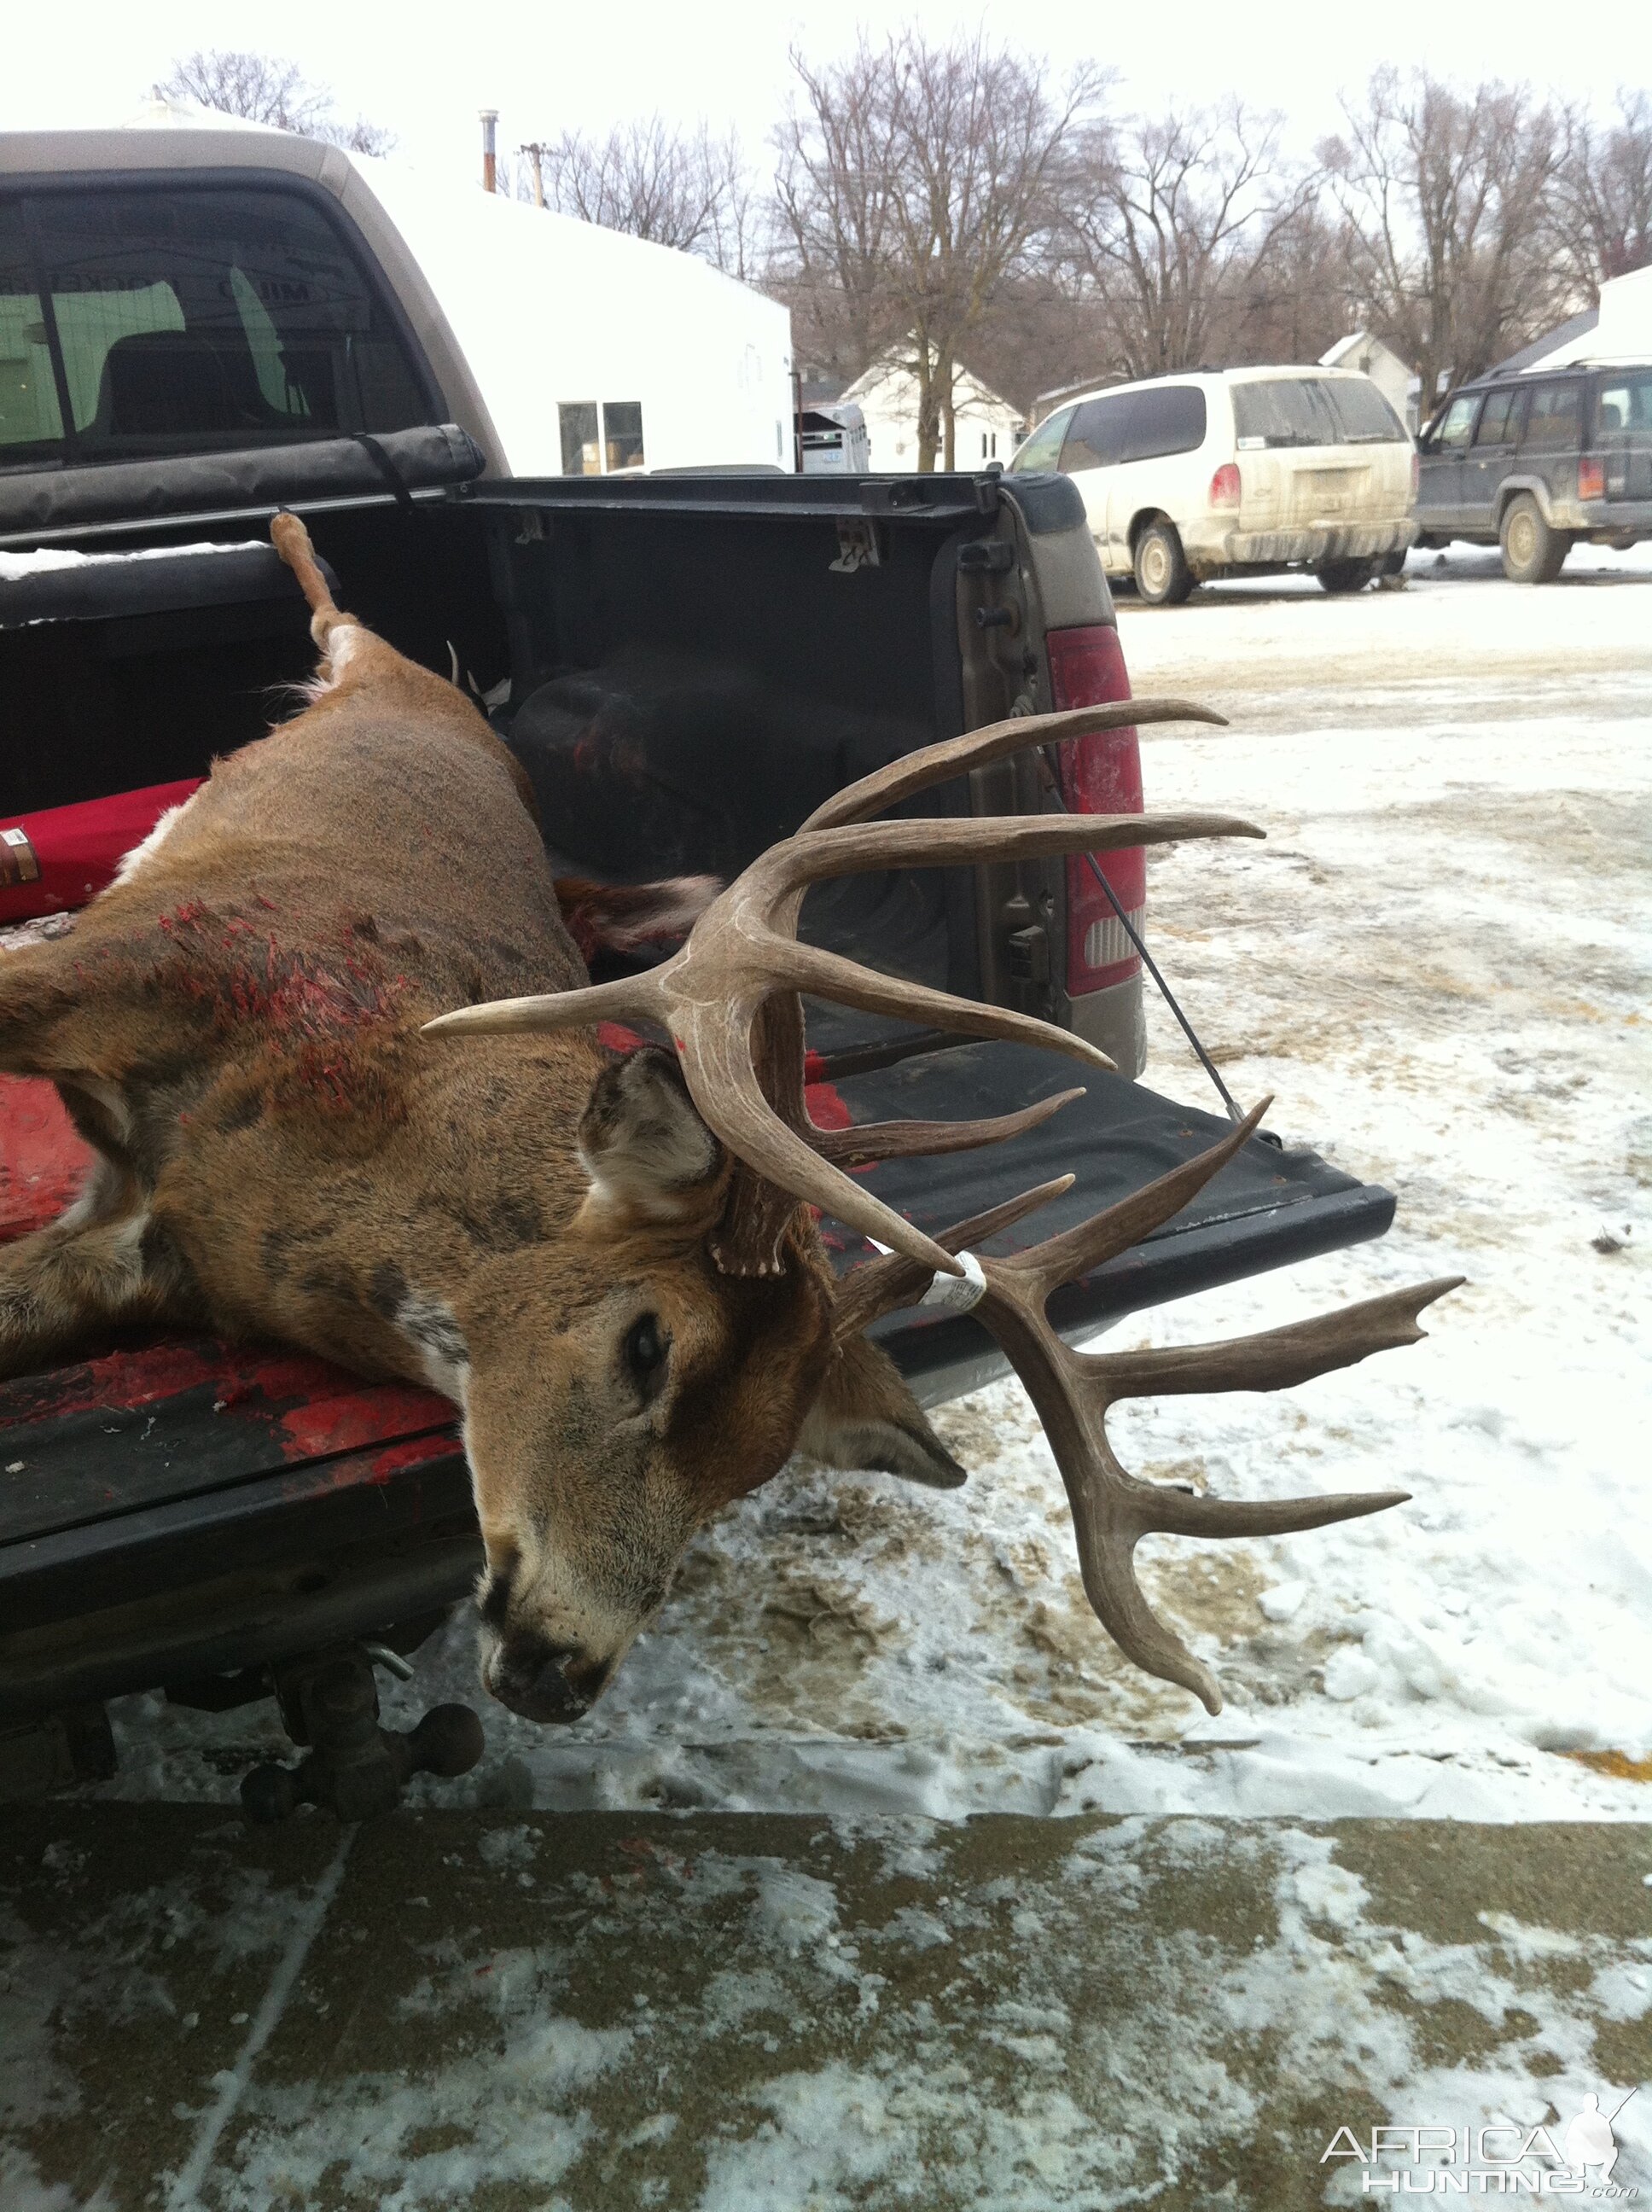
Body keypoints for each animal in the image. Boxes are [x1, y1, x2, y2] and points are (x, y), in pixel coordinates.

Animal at [0, 521, 1451, 1725]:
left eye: (755, 1466)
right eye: (649, 1344)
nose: (558, 1670)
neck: (349, 1120)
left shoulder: (145, 1246)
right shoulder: (160, 960)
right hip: (366, 681)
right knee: (336, 606)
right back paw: (274, 527)